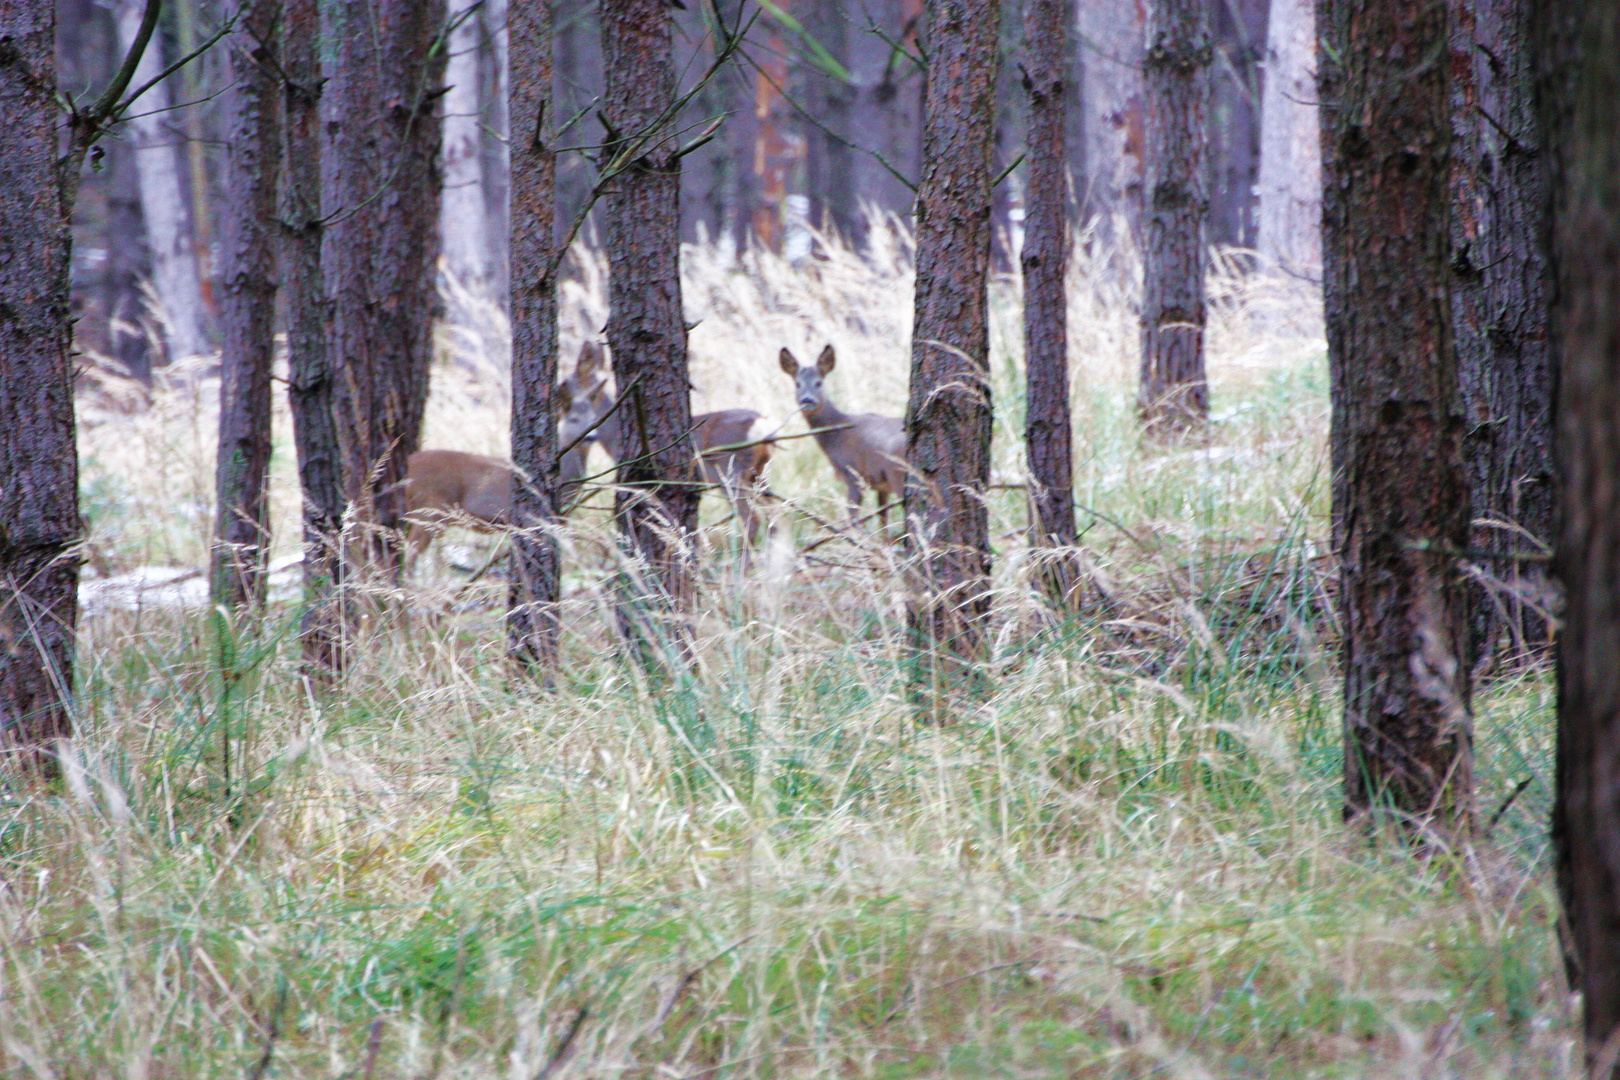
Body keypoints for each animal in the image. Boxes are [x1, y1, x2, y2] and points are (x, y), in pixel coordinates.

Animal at [777, 344, 907, 531]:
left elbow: (854, 521)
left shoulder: (852, 473)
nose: (807, 400)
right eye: (797, 384)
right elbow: (883, 524)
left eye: (819, 383)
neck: (837, 433)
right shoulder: (880, 487)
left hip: (897, 474)